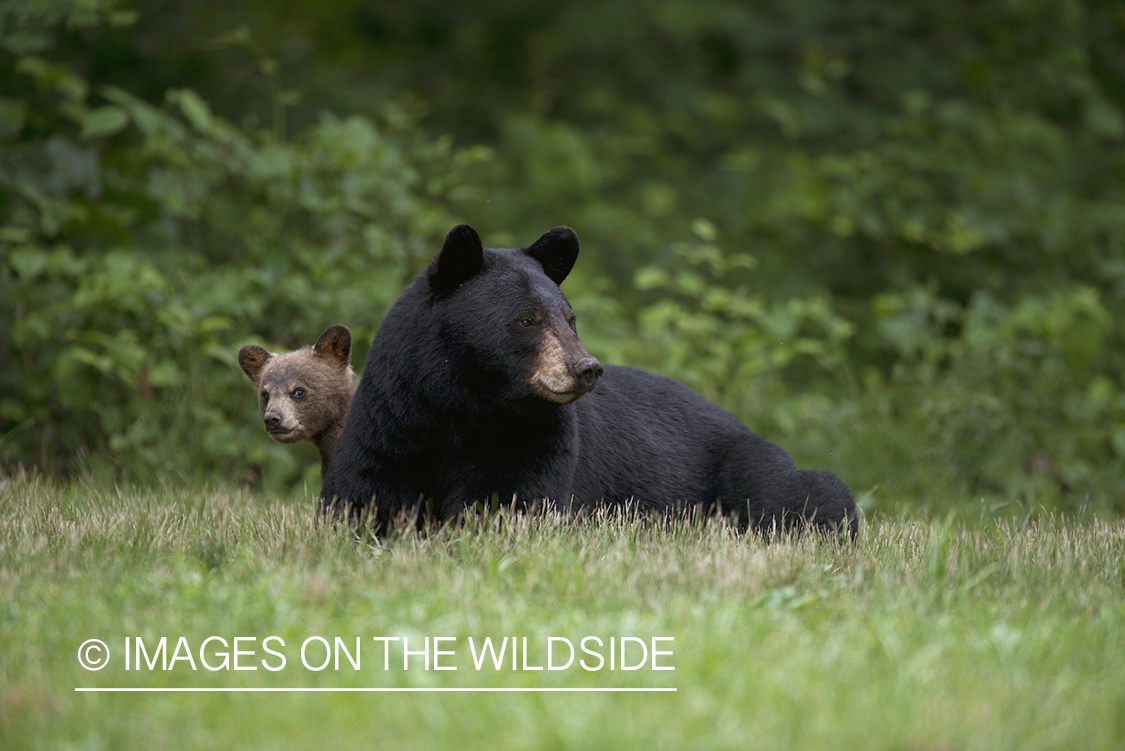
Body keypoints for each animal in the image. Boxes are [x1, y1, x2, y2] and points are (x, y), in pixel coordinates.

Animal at [321, 221, 855, 532]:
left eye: (569, 317)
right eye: (527, 319)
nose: (587, 368)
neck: (466, 407)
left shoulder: (536, 438)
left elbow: (516, 504)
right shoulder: (392, 419)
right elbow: (361, 494)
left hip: (744, 465)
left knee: (802, 495)